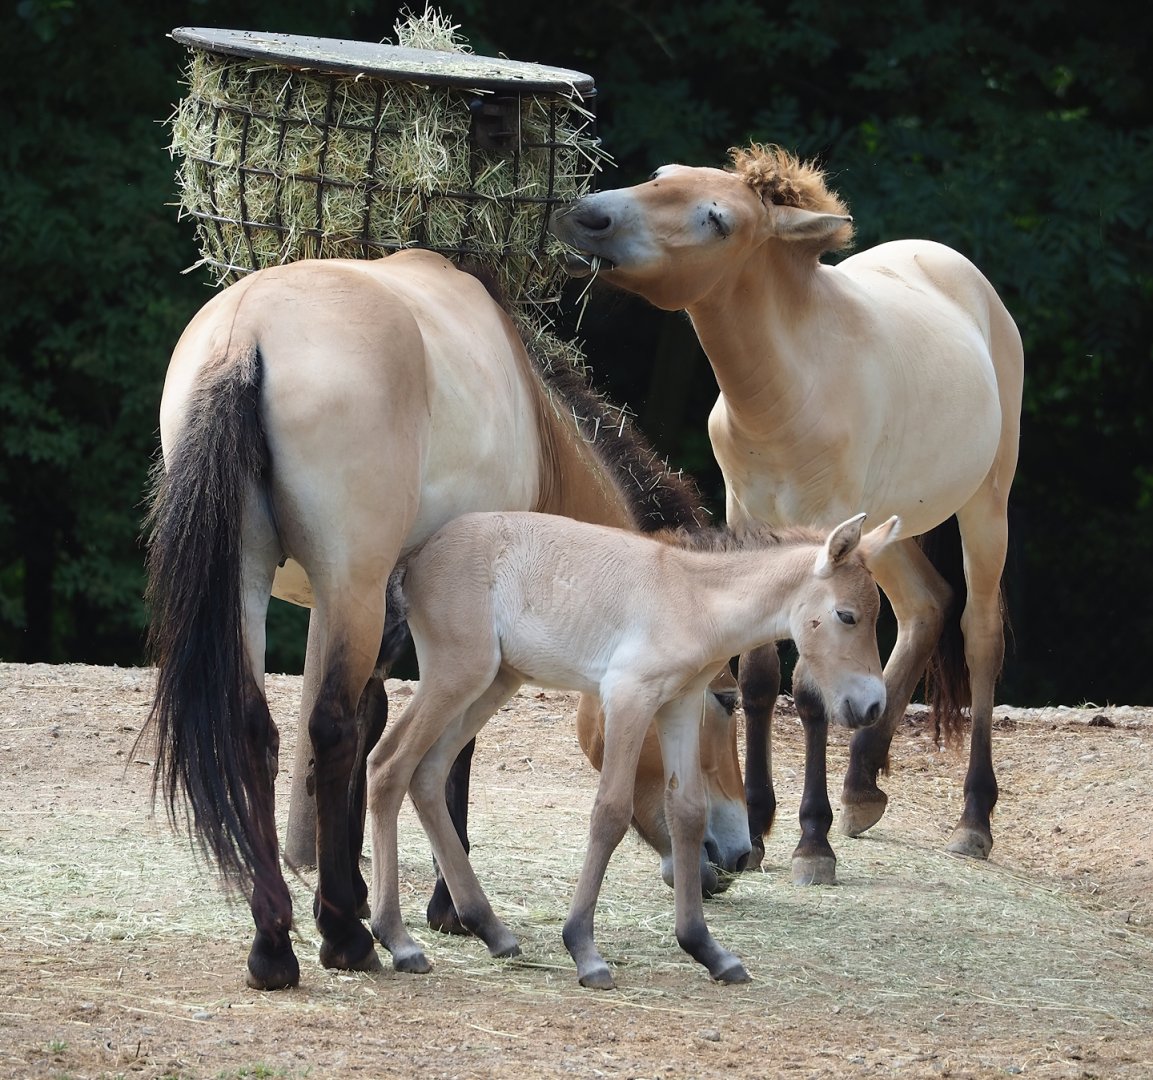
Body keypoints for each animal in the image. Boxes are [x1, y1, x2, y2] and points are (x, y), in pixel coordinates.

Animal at [141, 248, 751, 990]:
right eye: (724, 698)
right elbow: (441, 750)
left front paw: (376, 895)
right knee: (330, 729)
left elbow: (380, 724)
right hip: (350, 583)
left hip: (252, 581)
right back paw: (344, 938)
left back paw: (275, 945)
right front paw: (444, 908)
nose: (739, 852)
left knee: (259, 730)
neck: (538, 430)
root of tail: (246, 334)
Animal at [367, 509, 899, 989]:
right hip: (456, 675)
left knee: (426, 774)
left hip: (493, 683)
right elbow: (610, 813)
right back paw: (398, 941)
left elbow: (688, 814)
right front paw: (584, 950)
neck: (692, 598)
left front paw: (707, 949)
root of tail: (417, 556)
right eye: (846, 615)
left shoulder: (679, 707)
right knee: (387, 765)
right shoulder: (628, 697)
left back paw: (491, 930)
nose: (873, 705)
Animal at [551, 143, 1024, 883]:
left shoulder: (826, 527)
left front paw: (811, 842)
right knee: (926, 606)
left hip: (984, 508)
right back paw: (862, 788)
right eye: (659, 178)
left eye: (715, 218)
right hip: (884, 532)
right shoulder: (754, 518)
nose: (586, 215)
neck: (789, 385)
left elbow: (807, 688)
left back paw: (973, 819)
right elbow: (759, 677)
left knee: (978, 635)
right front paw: (761, 822)